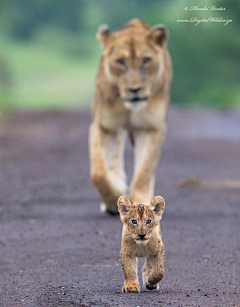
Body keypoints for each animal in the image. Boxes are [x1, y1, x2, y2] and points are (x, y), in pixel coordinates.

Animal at [89, 18, 172, 214]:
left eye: (146, 60)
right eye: (120, 61)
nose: (135, 89)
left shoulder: (151, 128)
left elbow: (145, 170)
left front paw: (142, 202)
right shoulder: (104, 126)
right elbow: (98, 174)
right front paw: (113, 200)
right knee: (114, 159)